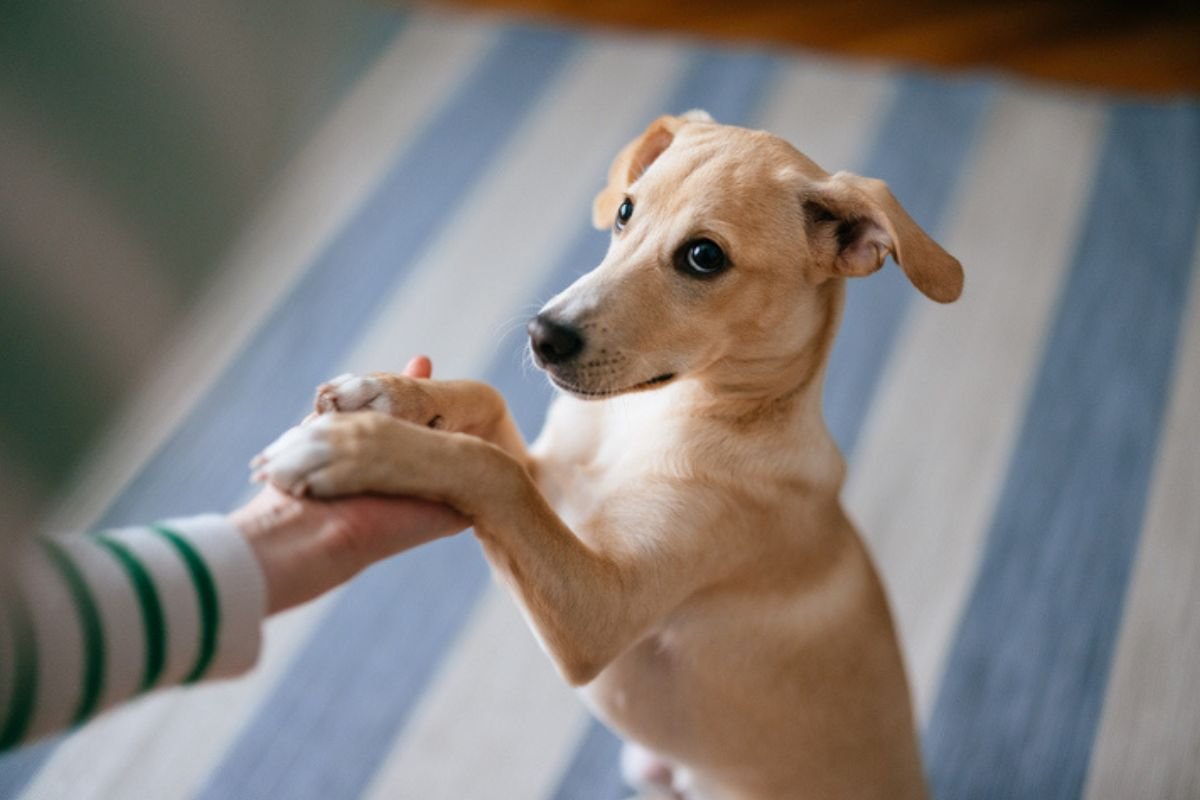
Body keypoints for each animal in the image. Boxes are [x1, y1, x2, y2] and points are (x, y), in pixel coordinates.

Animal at [255, 112, 964, 800]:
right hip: (644, 764)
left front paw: (347, 449)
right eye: (625, 211)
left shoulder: (599, 612)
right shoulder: (557, 487)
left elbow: (492, 469)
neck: (651, 420)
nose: (541, 336)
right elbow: (487, 406)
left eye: (704, 256)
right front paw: (386, 397)